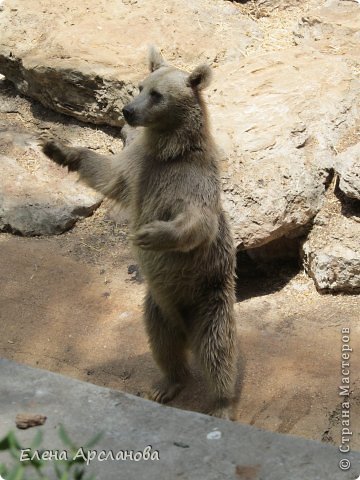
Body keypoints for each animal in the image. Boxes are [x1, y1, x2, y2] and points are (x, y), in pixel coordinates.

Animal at [42, 47, 238, 418]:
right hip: (156, 307)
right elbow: (108, 175)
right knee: (163, 345)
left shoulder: (188, 181)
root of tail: (186, 329)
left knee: (217, 351)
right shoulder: (138, 171)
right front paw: (60, 149)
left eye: (157, 95)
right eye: (140, 86)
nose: (127, 111)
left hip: (209, 298)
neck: (169, 151)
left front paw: (150, 235)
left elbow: (197, 221)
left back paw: (223, 403)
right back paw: (167, 384)